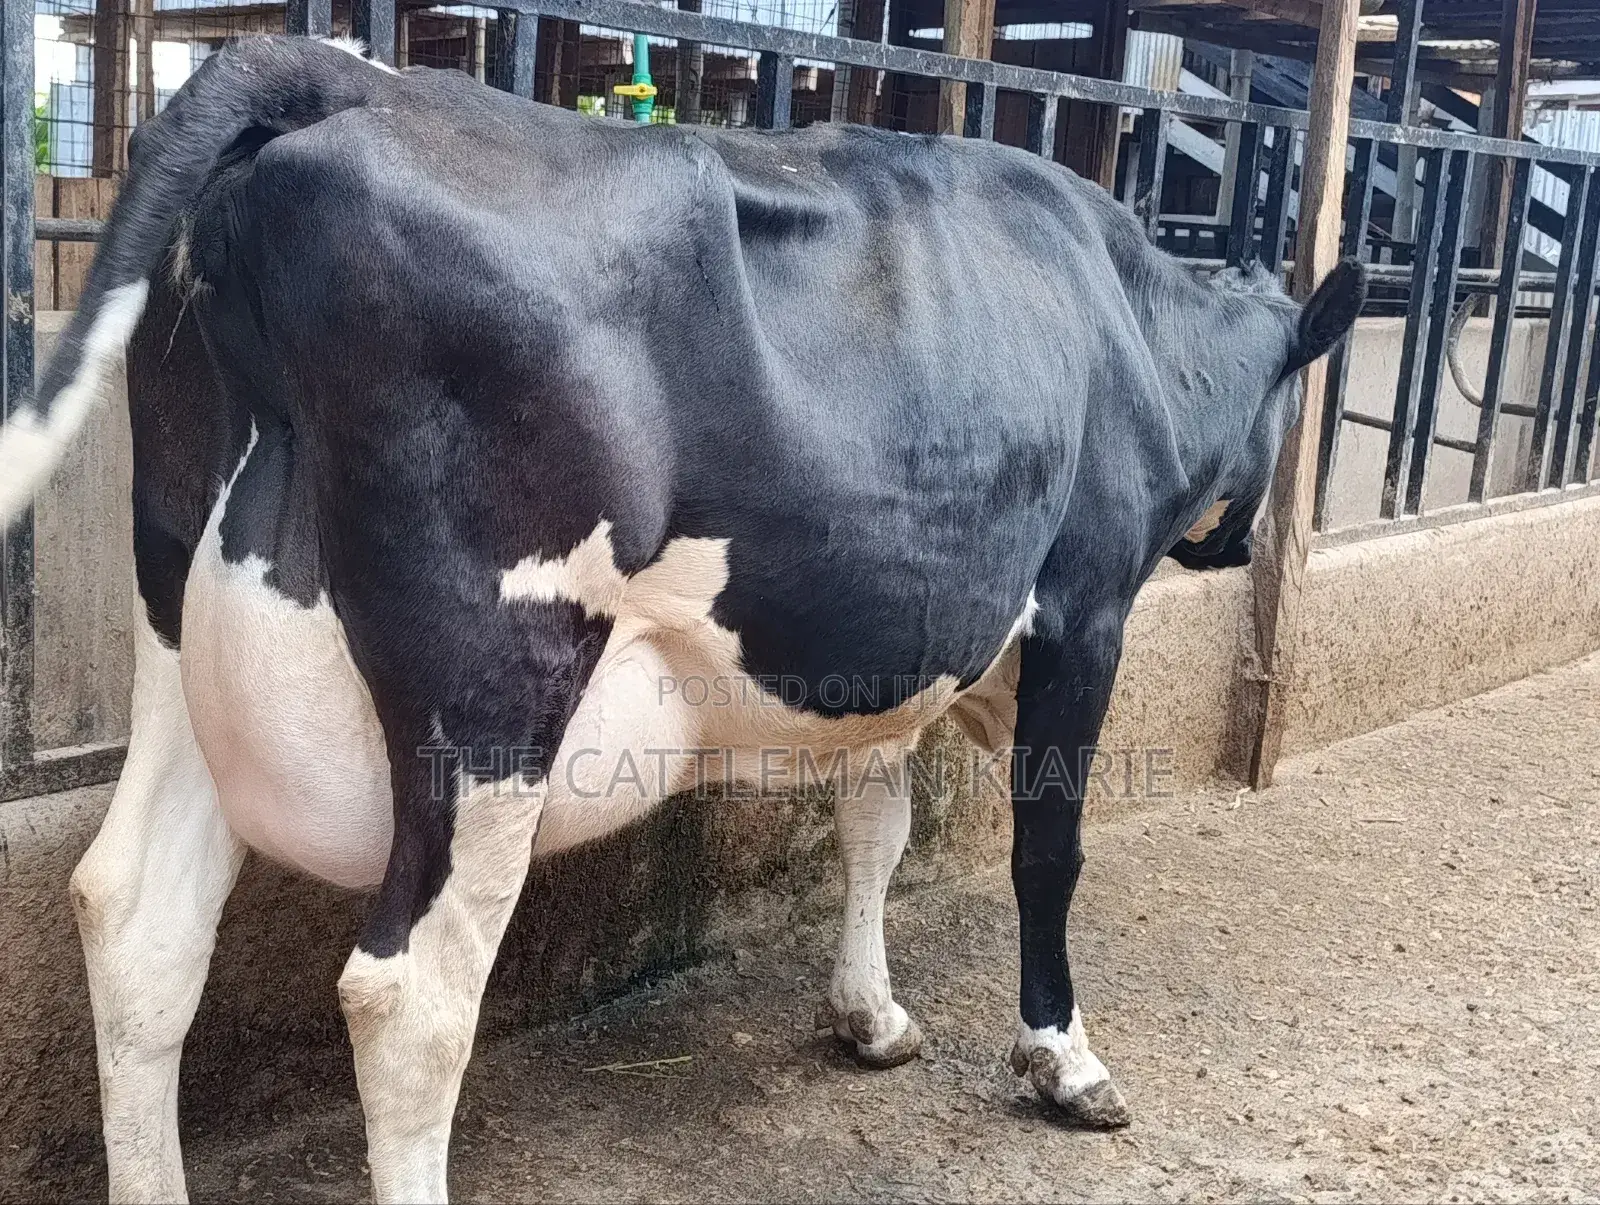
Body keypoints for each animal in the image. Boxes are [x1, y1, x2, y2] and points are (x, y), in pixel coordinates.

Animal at [0, 35, 1364, 1204]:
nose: (1238, 539)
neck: (1128, 321)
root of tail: (342, 74)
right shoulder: (1085, 603)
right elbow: (1047, 848)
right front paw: (1063, 1055)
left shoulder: (889, 638)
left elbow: (876, 821)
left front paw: (869, 1014)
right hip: (492, 680)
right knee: (411, 996)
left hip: (179, 608)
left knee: (136, 917)